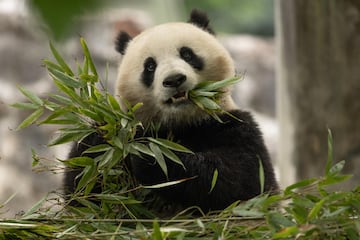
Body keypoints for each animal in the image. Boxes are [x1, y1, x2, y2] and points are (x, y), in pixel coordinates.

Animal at [64, 9, 278, 213]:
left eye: (187, 54)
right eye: (150, 66)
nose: (174, 80)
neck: (182, 123)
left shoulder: (233, 125)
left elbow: (243, 180)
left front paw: (151, 156)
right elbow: (83, 191)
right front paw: (103, 139)